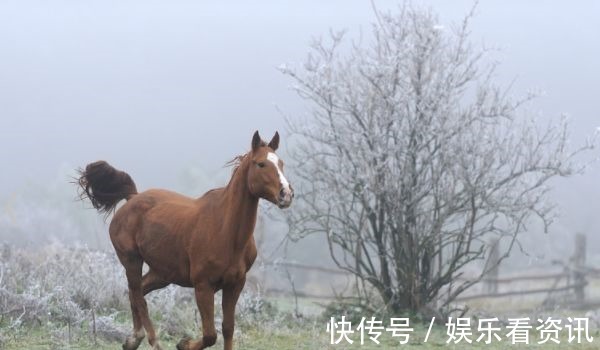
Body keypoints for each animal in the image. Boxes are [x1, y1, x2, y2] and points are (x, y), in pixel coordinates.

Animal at [75, 132, 292, 350]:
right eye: (261, 164)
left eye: (281, 163)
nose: (286, 194)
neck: (226, 232)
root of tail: (132, 197)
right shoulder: (203, 286)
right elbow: (210, 335)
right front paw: (183, 343)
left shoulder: (235, 284)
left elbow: (228, 329)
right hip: (131, 260)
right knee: (137, 295)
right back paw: (151, 341)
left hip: (162, 273)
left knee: (136, 292)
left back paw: (132, 340)